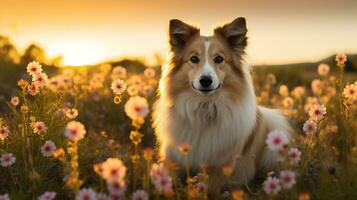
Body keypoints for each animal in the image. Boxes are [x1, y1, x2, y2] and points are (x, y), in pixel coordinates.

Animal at [152, 17, 290, 191]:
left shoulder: (219, 169)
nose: (205, 80)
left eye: (219, 59)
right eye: (194, 59)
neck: (204, 108)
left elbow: (206, 186)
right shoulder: (171, 159)